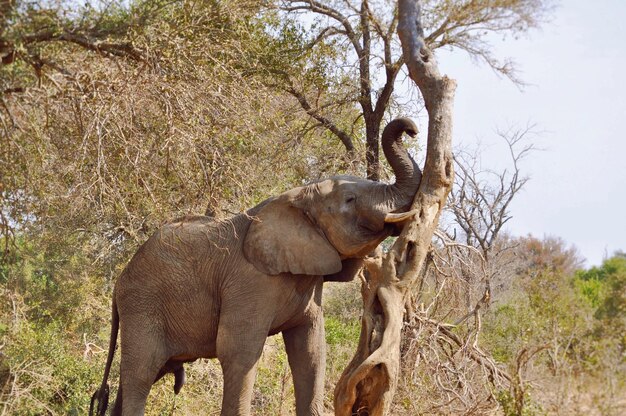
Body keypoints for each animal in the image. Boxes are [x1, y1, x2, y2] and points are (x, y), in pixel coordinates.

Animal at [89, 118, 420, 416]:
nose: (412, 129)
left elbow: (311, 350)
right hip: (142, 305)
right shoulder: (249, 281)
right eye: (350, 200)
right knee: (141, 374)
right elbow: (239, 350)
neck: (297, 196)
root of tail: (119, 282)